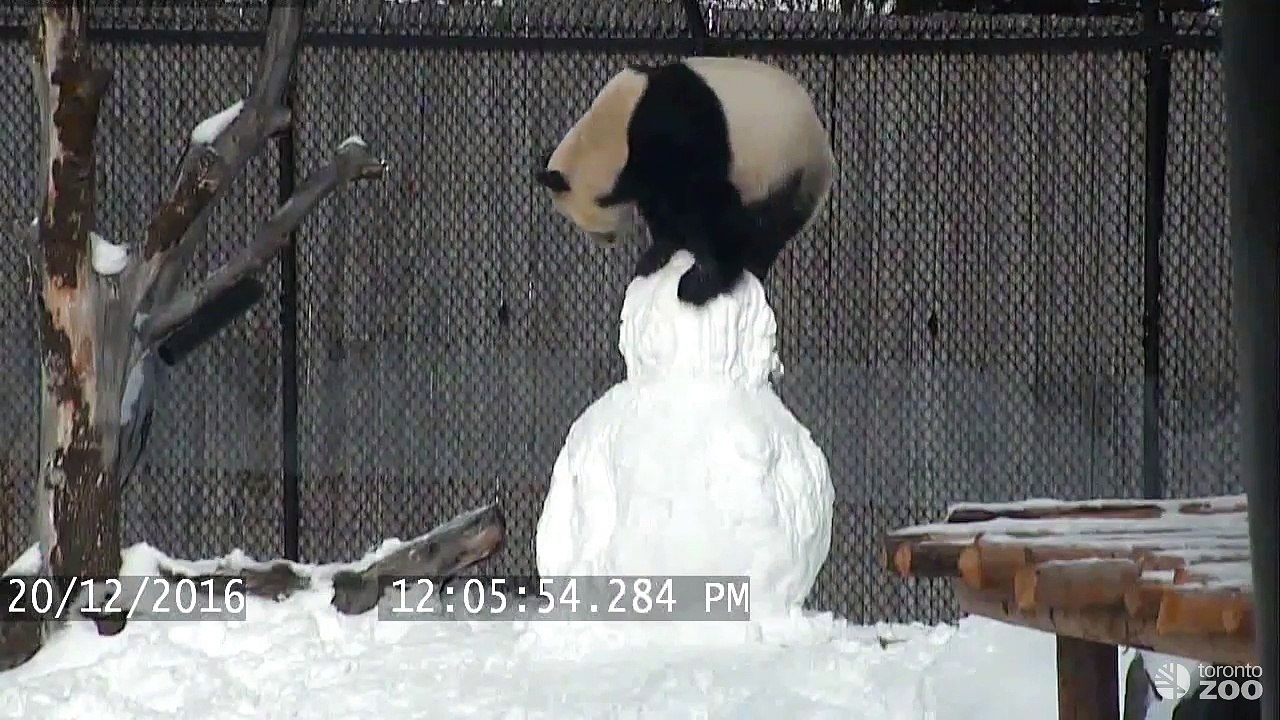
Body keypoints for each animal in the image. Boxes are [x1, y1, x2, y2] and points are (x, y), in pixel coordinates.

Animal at [534, 56, 836, 306]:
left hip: (786, 166)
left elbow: (707, 202)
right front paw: (656, 255)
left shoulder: (679, 134)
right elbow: (661, 206)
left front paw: (701, 282)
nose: (609, 242)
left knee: (767, 222)